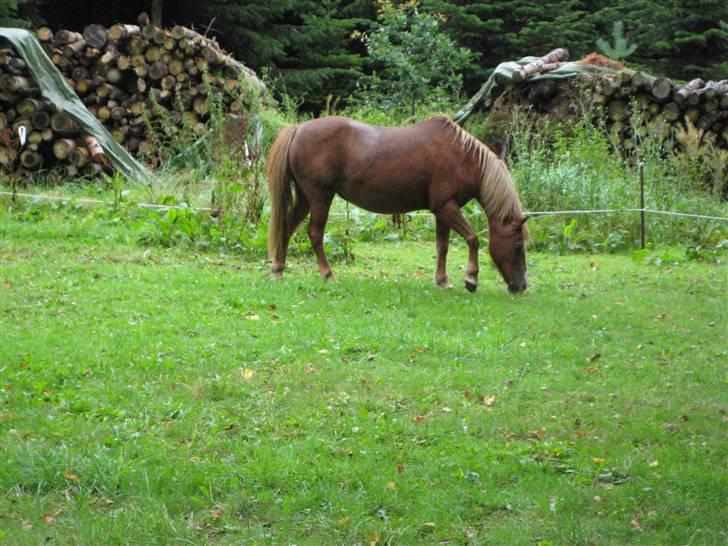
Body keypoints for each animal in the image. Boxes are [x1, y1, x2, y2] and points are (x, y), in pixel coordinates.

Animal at [264, 115, 528, 292]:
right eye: (517, 246)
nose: (521, 285)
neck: (463, 158)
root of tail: (298, 129)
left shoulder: (442, 211)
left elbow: (442, 246)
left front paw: (442, 281)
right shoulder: (446, 207)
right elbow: (472, 239)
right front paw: (471, 279)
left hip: (305, 198)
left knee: (287, 227)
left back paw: (278, 270)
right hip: (320, 197)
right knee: (315, 233)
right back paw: (328, 275)